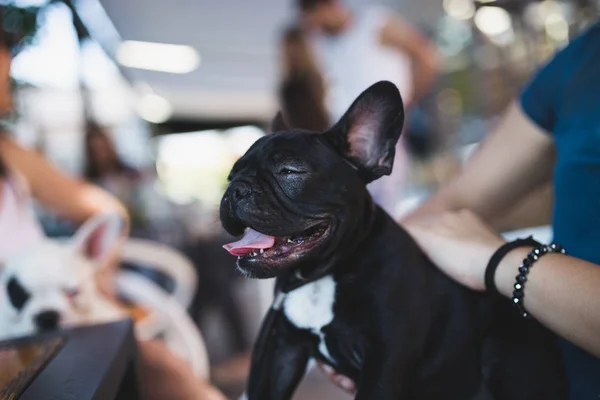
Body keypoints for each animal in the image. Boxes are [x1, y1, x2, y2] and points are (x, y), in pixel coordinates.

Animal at [220, 82, 568, 400]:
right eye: (230, 175)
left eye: (289, 170)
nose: (236, 189)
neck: (324, 274)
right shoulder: (280, 351)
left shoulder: (385, 358)